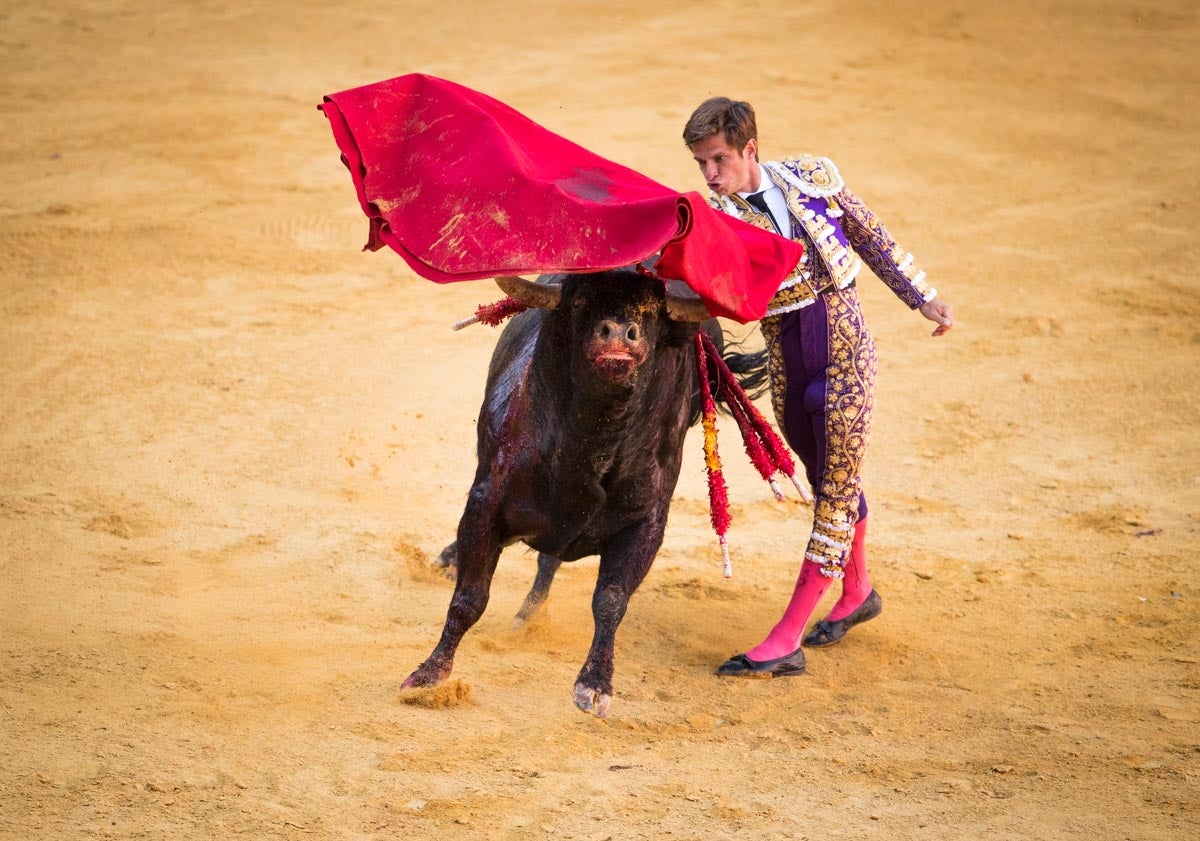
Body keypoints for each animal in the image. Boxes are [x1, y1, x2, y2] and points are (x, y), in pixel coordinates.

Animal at [398, 267, 763, 715]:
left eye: (654, 311)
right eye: (578, 302)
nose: (618, 334)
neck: (589, 444)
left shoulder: (645, 525)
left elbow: (611, 599)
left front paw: (594, 685)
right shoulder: (486, 503)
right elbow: (469, 597)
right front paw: (429, 674)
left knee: (550, 563)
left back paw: (527, 617)